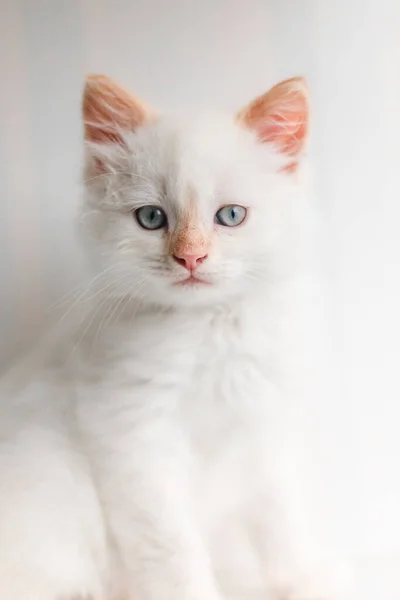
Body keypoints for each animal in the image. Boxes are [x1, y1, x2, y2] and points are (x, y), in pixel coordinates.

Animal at [0, 74, 344, 600]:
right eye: (151, 218)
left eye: (231, 216)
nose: (191, 258)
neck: (208, 332)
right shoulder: (135, 437)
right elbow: (174, 552)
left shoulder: (264, 431)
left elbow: (285, 525)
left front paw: (307, 582)